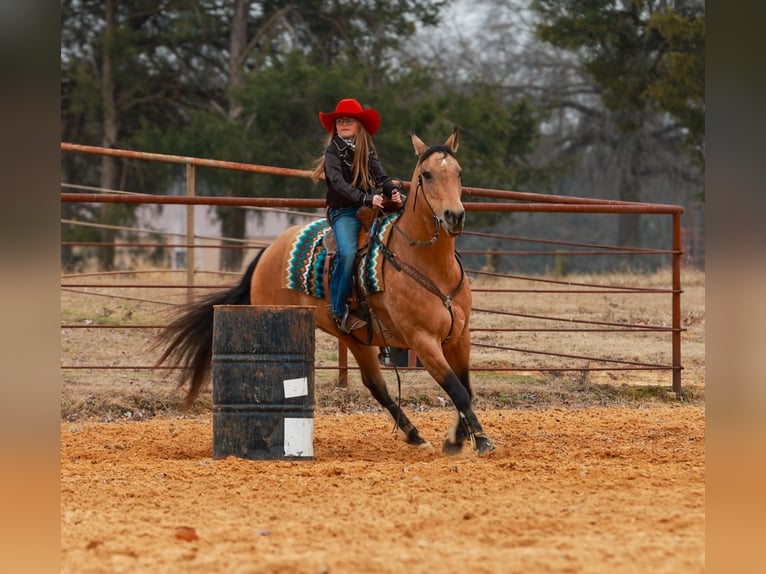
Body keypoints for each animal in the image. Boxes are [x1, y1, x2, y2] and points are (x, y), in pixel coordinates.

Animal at [154, 129, 496, 456]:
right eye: (426, 174)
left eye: (459, 172)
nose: (454, 216)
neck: (429, 265)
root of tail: (268, 251)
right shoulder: (423, 341)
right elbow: (456, 389)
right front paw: (481, 441)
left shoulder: (460, 335)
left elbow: (465, 387)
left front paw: (456, 439)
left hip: (356, 338)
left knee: (375, 384)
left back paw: (413, 434)